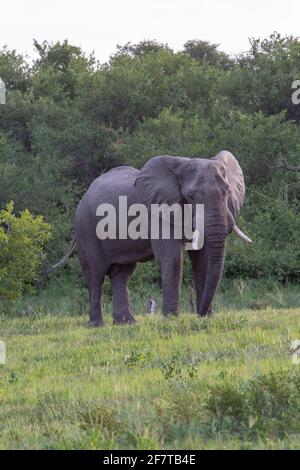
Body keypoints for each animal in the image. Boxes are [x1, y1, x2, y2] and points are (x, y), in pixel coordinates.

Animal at [51, 151, 251, 326]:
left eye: (227, 192)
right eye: (191, 196)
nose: (200, 313)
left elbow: (202, 259)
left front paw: (207, 318)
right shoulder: (159, 212)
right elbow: (172, 258)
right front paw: (171, 320)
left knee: (121, 273)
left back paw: (126, 323)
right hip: (86, 228)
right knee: (95, 275)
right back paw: (97, 325)